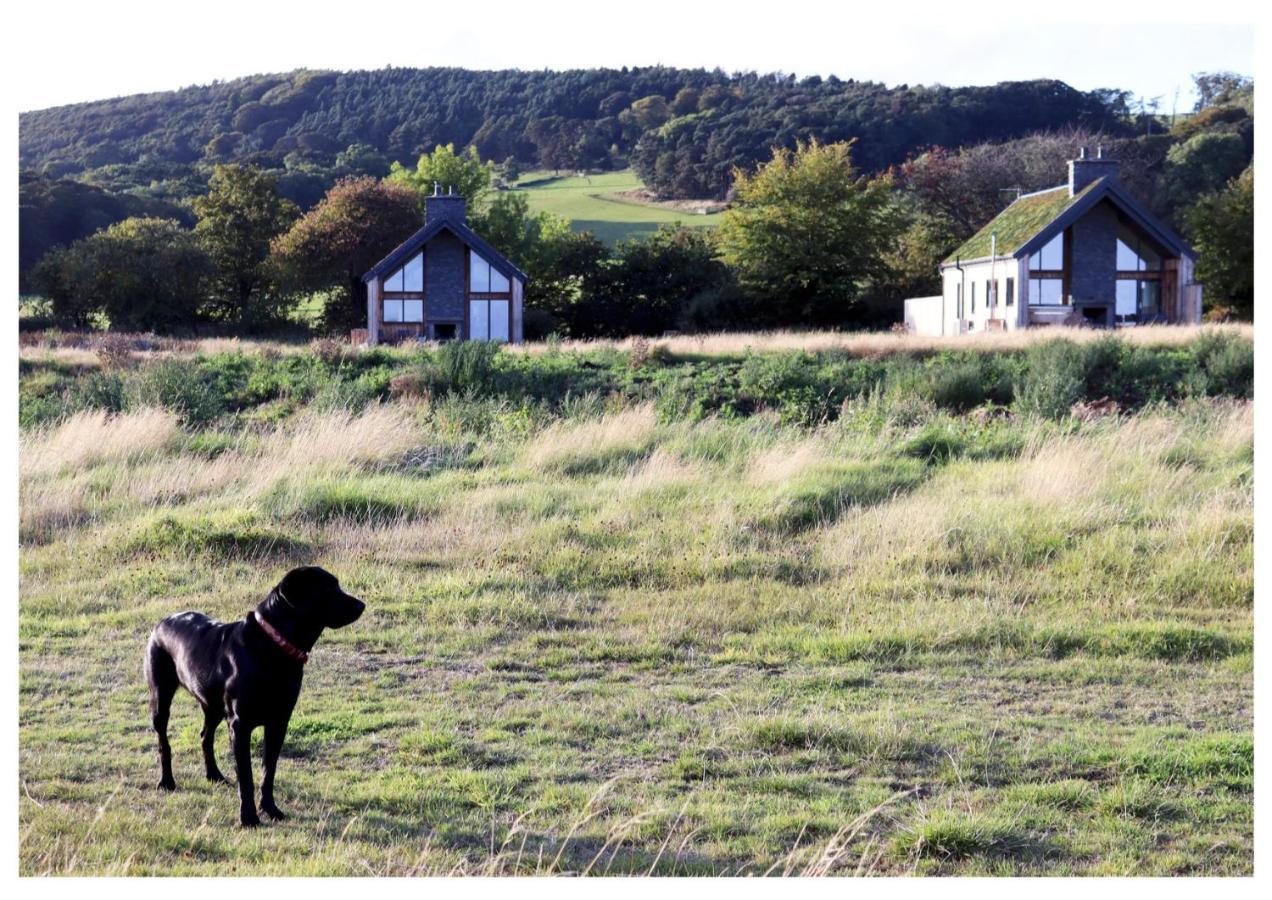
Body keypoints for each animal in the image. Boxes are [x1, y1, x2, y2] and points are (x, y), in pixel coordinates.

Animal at [145, 566, 366, 823]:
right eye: (328, 589)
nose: (361, 605)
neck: (272, 648)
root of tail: (161, 622)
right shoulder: (240, 725)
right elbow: (247, 777)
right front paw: (249, 817)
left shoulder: (279, 722)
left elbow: (268, 772)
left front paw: (270, 809)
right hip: (161, 698)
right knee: (164, 742)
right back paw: (167, 782)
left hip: (213, 706)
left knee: (205, 736)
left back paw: (214, 776)